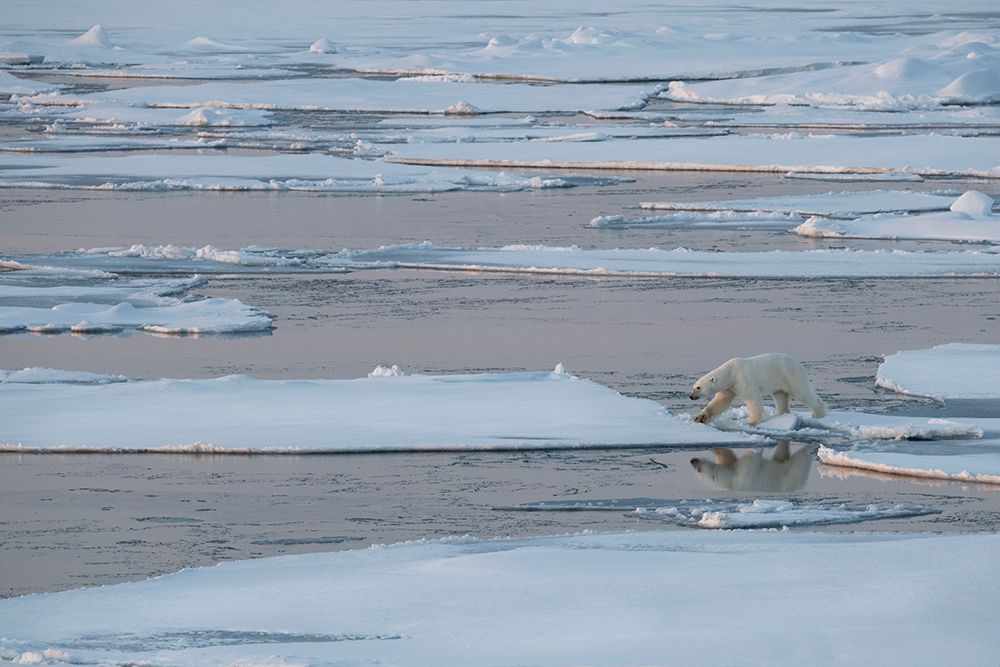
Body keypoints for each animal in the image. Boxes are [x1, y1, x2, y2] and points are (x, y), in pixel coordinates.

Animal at [692, 352, 824, 426]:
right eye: (693, 387)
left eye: (698, 387)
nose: (691, 396)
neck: (731, 372)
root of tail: (797, 363)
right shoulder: (730, 386)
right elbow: (720, 401)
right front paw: (699, 417)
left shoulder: (742, 379)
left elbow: (752, 398)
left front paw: (753, 422)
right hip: (779, 381)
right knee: (780, 396)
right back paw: (780, 414)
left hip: (791, 374)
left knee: (802, 392)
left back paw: (819, 414)